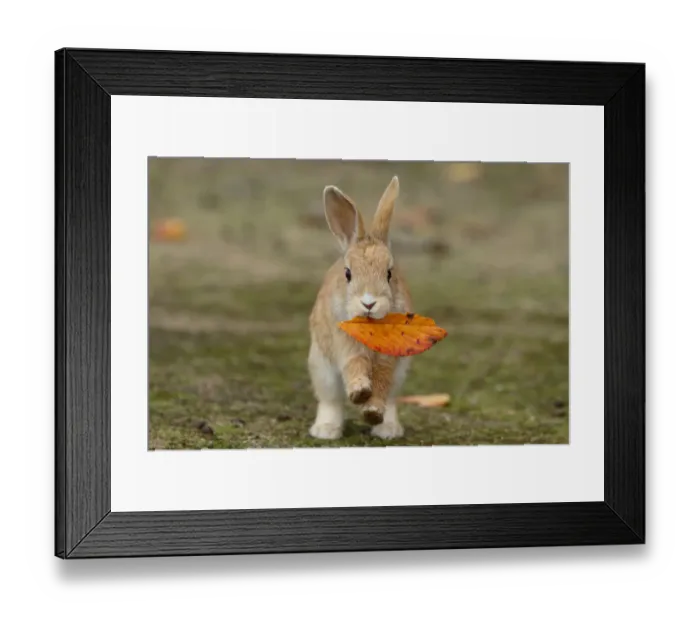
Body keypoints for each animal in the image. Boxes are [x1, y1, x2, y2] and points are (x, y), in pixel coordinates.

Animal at [308, 176, 413, 441]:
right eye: (348, 274)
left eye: (389, 274)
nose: (369, 302)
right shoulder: (345, 346)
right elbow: (354, 364)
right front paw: (359, 393)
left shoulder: (389, 359)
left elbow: (382, 382)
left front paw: (373, 411)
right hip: (322, 369)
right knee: (331, 401)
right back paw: (326, 430)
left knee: (391, 400)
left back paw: (388, 430)